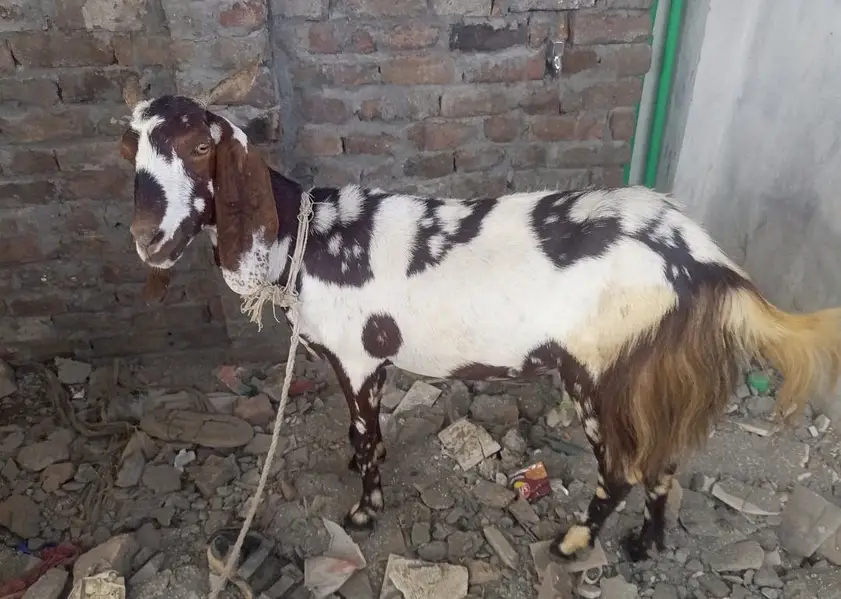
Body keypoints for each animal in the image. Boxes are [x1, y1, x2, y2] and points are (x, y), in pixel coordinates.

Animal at [118, 66, 841, 563]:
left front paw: (363, 513)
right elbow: (360, 433)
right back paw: (643, 546)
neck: (309, 238)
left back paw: (574, 543)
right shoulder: (357, 360)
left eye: (201, 148)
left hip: (597, 374)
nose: (147, 239)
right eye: (132, 149)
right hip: (647, 375)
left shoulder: (358, 358)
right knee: (660, 461)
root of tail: (703, 261)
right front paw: (356, 472)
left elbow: (367, 438)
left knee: (620, 470)